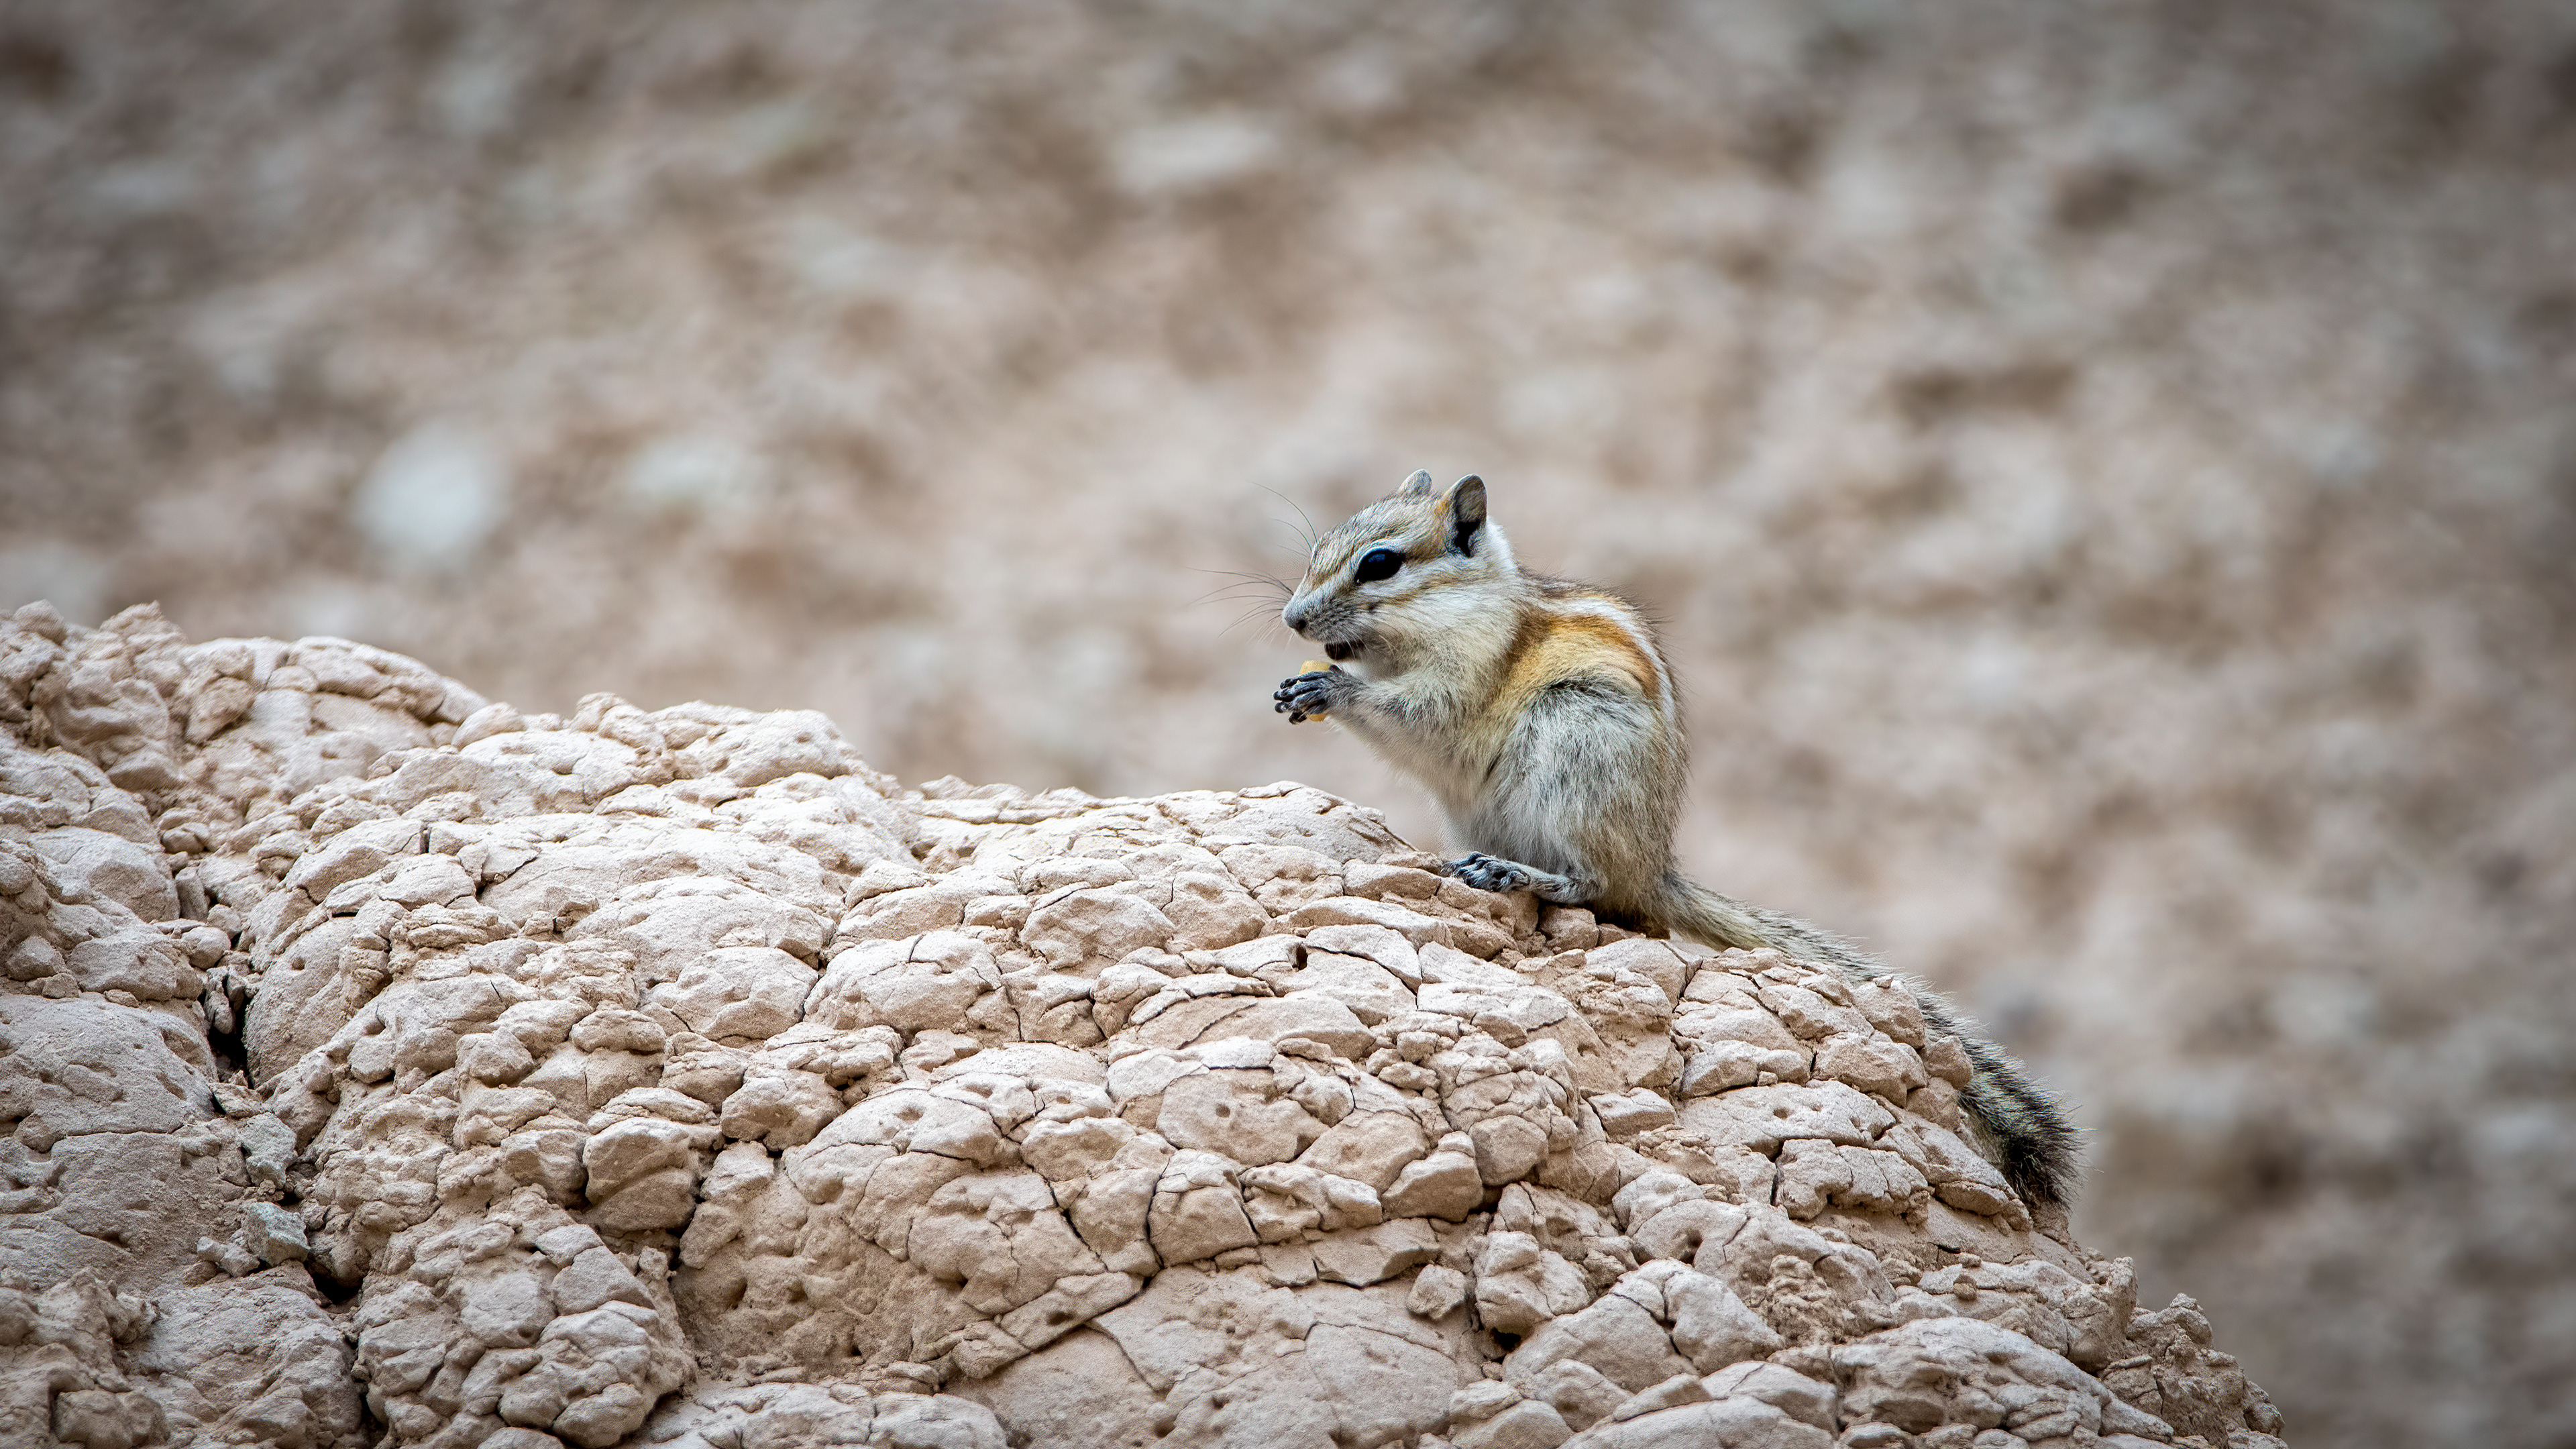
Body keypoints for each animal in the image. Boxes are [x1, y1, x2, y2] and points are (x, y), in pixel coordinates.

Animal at [1271, 469, 2079, 1207]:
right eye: (1317, 551)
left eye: (1381, 563)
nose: (1294, 620)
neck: (1458, 614)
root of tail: (1657, 870)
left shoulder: (1462, 681)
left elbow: (1419, 717)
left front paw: (1329, 688)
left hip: (1578, 740)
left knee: (1598, 889)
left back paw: (1516, 876)